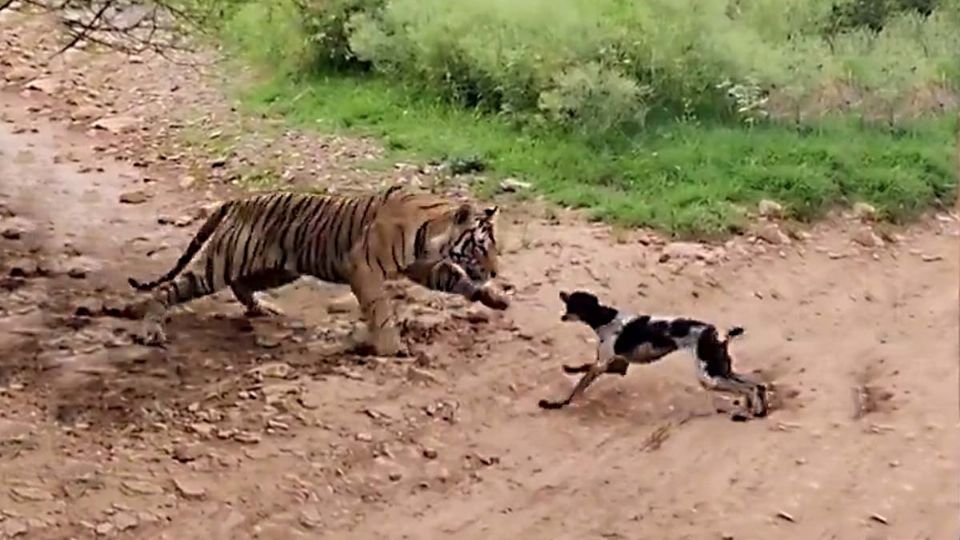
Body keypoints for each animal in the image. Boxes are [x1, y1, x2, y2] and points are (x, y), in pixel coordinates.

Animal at [127, 184, 510, 356]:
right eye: (480, 246)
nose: (494, 272)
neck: (433, 235)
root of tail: (238, 201)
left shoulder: (425, 267)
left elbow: (458, 280)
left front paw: (495, 298)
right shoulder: (365, 269)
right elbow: (381, 311)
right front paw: (390, 347)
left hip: (279, 268)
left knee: (240, 285)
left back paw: (263, 308)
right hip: (222, 262)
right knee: (168, 288)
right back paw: (152, 330)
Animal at [540, 288, 772, 420]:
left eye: (572, 301)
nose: (561, 293)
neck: (604, 318)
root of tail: (717, 333)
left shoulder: (603, 364)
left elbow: (578, 386)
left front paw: (556, 404)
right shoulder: (617, 365)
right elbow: (584, 368)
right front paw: (569, 369)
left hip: (710, 377)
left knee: (748, 388)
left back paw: (747, 413)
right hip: (720, 370)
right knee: (757, 385)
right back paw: (758, 411)